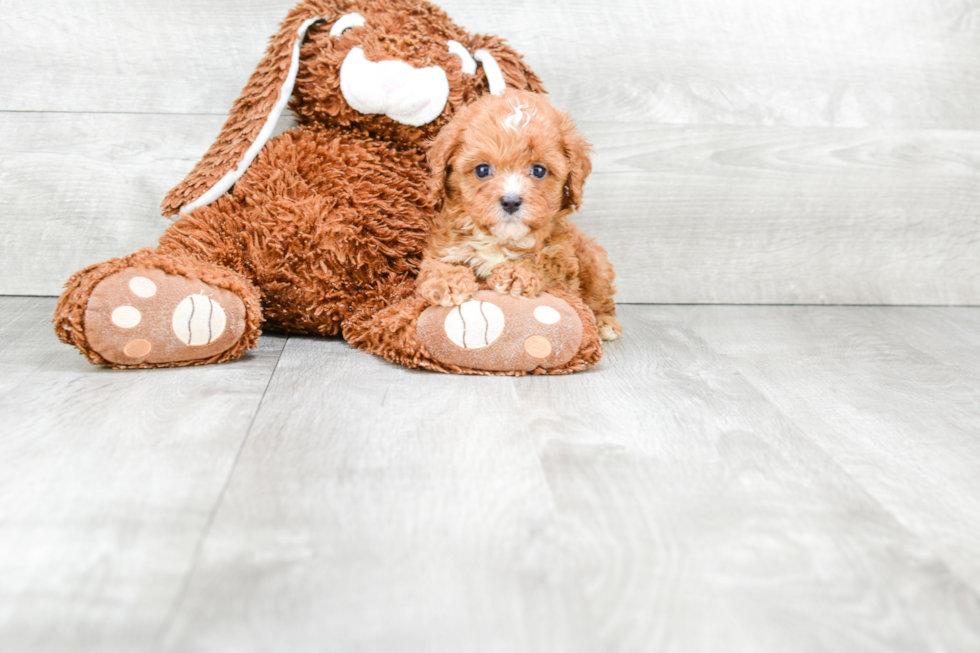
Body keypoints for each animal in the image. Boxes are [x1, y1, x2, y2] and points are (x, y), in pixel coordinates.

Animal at [418, 90, 624, 342]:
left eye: (539, 170)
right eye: (482, 170)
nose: (510, 201)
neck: (500, 240)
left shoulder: (563, 259)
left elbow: (544, 261)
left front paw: (517, 273)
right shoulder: (444, 247)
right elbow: (434, 266)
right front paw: (447, 281)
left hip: (595, 262)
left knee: (601, 297)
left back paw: (605, 322)